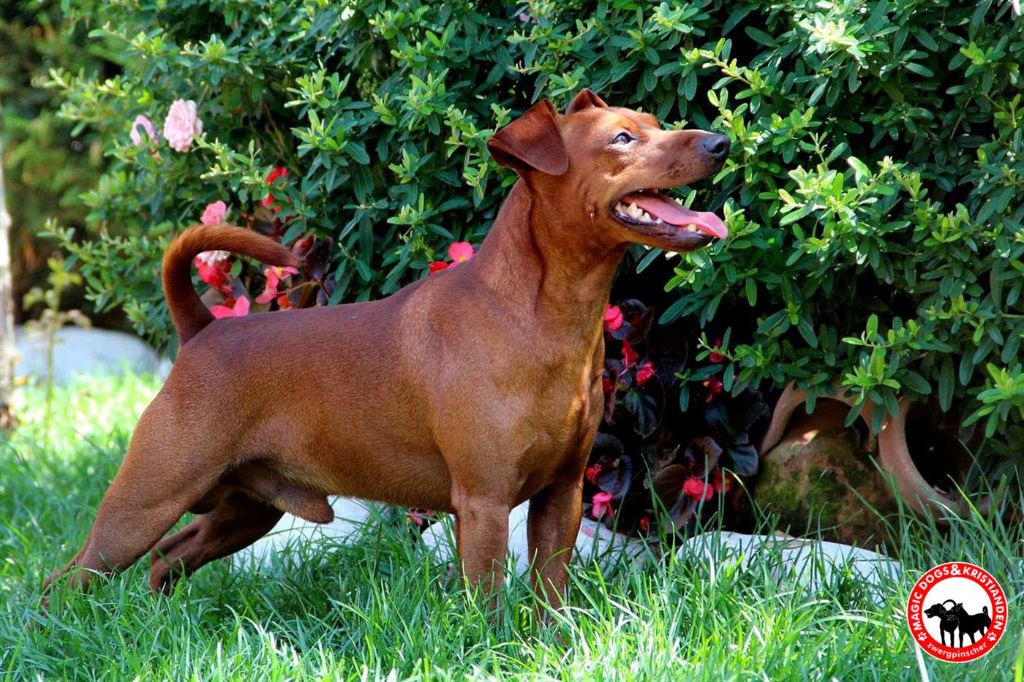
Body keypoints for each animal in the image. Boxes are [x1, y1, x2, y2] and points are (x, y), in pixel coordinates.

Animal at [44, 89, 729, 609]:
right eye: (623, 139)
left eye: (656, 124)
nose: (720, 143)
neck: (542, 315)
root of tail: (204, 329)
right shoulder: (483, 503)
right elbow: (489, 602)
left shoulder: (560, 497)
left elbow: (551, 597)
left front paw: (550, 646)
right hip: (146, 500)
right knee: (69, 576)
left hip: (244, 509)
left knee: (168, 558)